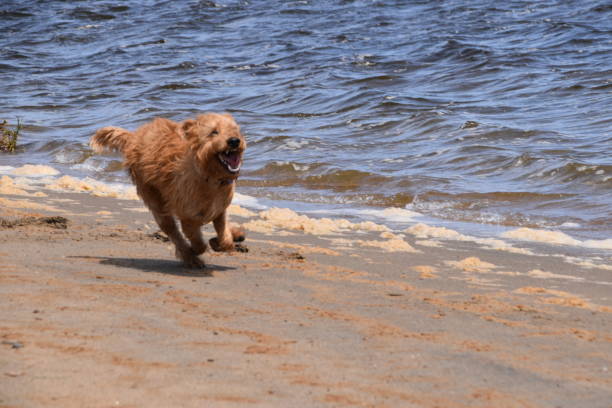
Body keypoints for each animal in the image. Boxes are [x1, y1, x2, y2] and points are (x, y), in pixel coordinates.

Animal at [90, 113, 246, 270]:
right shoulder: (188, 218)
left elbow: (224, 236)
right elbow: (198, 243)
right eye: (214, 132)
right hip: (156, 202)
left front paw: (225, 239)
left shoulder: (220, 210)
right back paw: (190, 258)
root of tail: (134, 137)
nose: (234, 141)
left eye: (235, 130)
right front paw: (195, 250)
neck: (210, 177)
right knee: (173, 233)